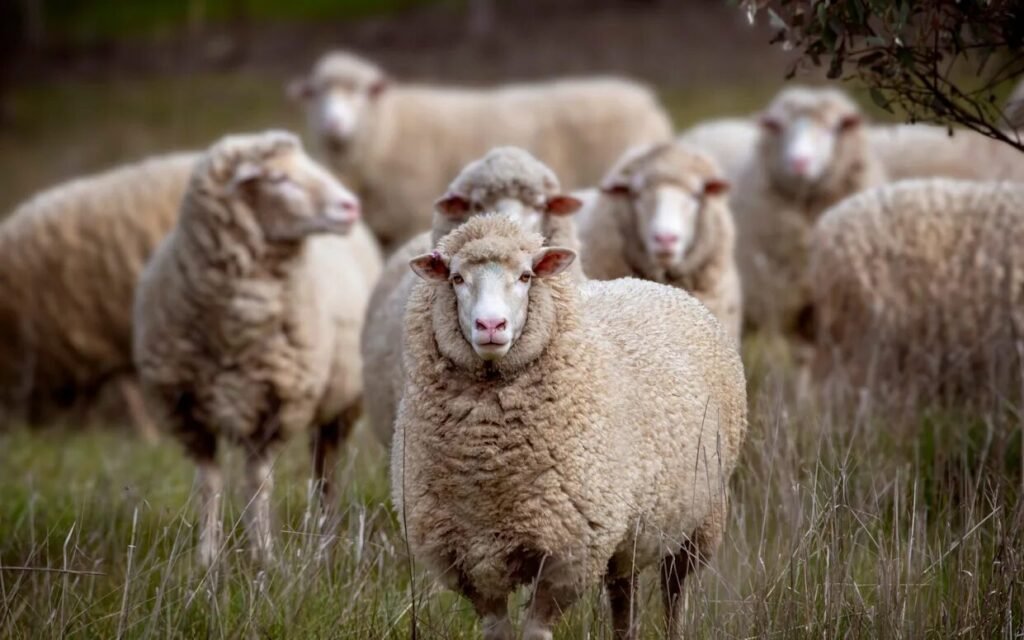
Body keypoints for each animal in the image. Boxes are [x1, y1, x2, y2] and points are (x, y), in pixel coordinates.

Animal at [133, 130, 382, 566]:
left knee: (327, 472)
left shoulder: (275, 406)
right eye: (279, 178)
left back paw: (326, 539)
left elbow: (257, 484)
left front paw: (265, 557)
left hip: (341, 405)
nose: (350, 206)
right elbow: (209, 484)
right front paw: (207, 558)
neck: (234, 328)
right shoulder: (187, 413)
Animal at [288, 50, 672, 251]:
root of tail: (647, 99)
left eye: (360, 92)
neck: (388, 128)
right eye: (317, 94)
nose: (333, 123)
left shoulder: (405, 219)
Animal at [392, 214, 747, 640]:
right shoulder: (471, 561)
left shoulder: (568, 554)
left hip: (699, 519)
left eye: (526, 276)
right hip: (627, 532)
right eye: (457, 278)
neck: (490, 466)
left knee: (675, 592)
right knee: (623, 595)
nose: (491, 325)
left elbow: (535, 631)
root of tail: (650, 284)